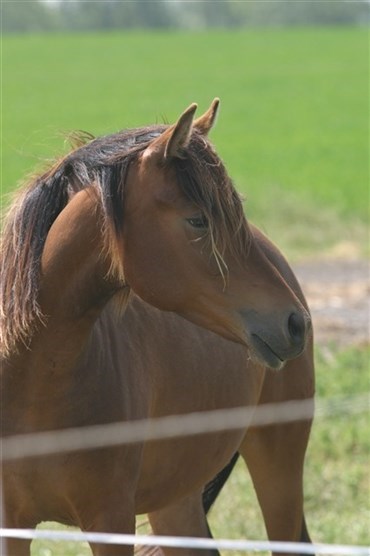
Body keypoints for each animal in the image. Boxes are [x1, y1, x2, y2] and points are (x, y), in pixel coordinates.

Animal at [0, 101, 314, 556]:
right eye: (197, 220)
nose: (295, 322)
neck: (30, 380)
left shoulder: (111, 520)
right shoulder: (12, 523)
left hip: (279, 465)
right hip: (176, 498)